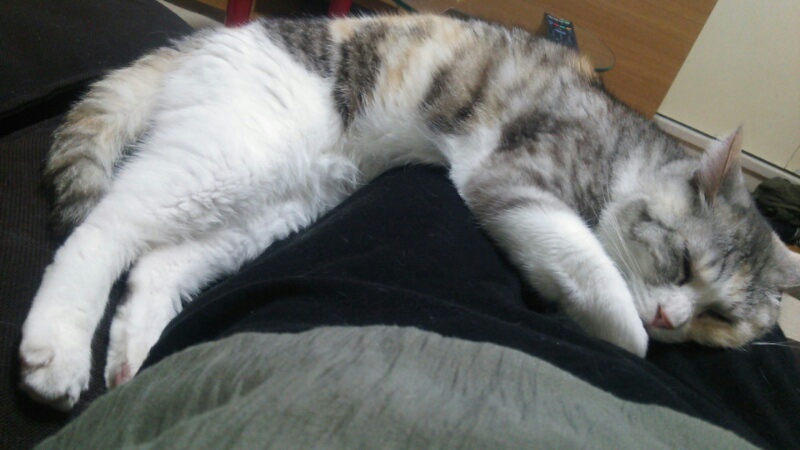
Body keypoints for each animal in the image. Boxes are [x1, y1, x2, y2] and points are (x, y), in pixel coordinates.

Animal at [19, 14, 800, 411]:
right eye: (683, 262)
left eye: (721, 319)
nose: (673, 317)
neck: (626, 151)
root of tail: (207, 37)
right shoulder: (508, 179)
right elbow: (596, 277)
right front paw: (621, 329)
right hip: (232, 157)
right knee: (105, 231)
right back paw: (58, 348)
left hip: (277, 204)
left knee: (159, 262)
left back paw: (133, 352)